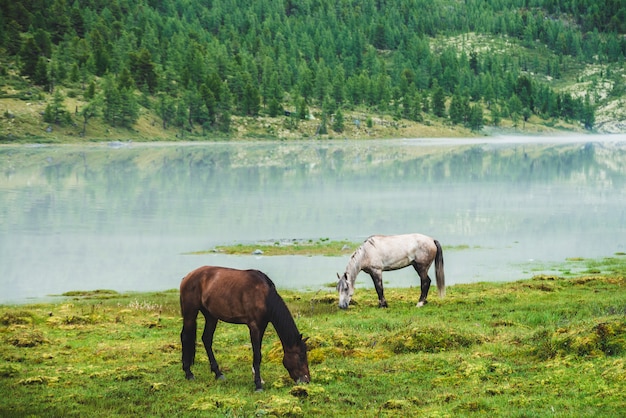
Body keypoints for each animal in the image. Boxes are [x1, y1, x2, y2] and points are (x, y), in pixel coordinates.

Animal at [179, 266, 308, 390]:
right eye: (301, 356)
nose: (306, 380)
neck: (263, 296)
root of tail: (187, 277)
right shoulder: (254, 327)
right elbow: (257, 355)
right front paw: (258, 385)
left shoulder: (262, 326)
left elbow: (258, 353)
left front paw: (258, 379)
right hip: (190, 313)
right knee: (185, 337)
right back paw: (188, 373)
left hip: (211, 317)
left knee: (206, 339)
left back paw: (218, 373)